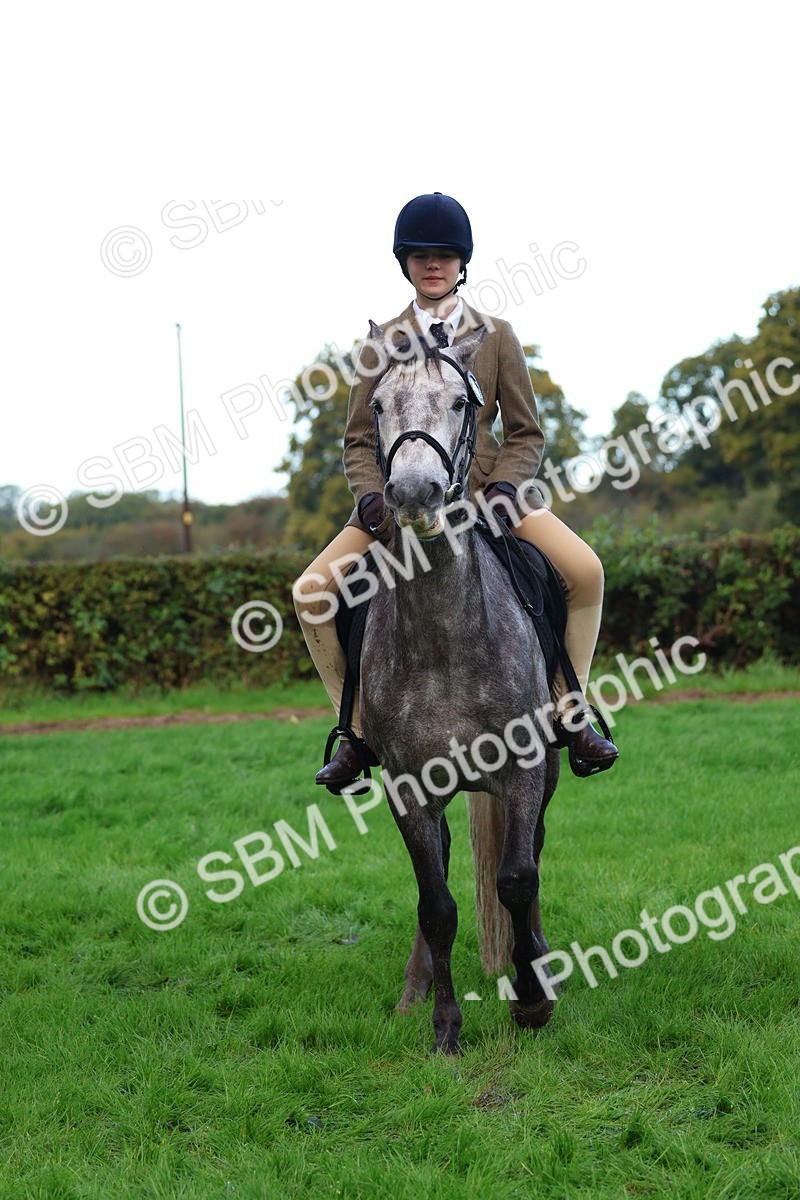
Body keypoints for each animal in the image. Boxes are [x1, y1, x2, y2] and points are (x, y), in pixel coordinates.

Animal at [356, 322, 561, 1054]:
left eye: (460, 403)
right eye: (378, 405)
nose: (415, 494)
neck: (445, 634)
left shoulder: (525, 769)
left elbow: (517, 878)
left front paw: (532, 999)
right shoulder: (408, 786)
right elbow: (437, 903)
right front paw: (445, 1026)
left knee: (530, 858)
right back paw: (414, 991)